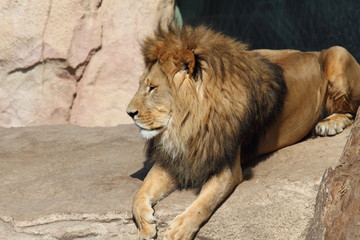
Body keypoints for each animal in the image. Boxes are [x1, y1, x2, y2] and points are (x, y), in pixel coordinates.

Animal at [126, 24, 360, 240]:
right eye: (142, 85)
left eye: (152, 88)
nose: (129, 113)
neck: (188, 125)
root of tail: (314, 52)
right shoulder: (176, 159)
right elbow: (139, 194)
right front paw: (145, 226)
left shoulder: (227, 169)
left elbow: (203, 204)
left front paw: (178, 230)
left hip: (338, 52)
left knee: (350, 110)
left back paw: (328, 124)